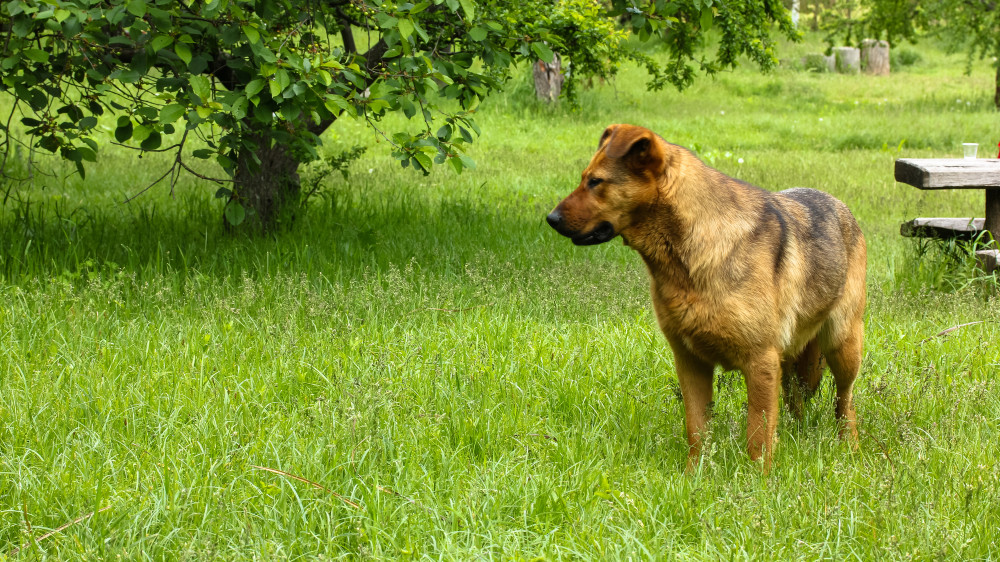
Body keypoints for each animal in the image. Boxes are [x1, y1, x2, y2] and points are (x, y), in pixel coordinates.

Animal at [548, 123, 868, 468]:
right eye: (585, 178)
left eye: (596, 182)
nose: (551, 219)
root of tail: (841, 206)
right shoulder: (691, 363)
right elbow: (697, 429)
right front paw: (695, 474)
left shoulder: (761, 362)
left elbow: (758, 435)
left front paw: (759, 479)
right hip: (797, 365)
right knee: (798, 405)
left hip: (842, 346)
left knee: (845, 402)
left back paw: (849, 448)